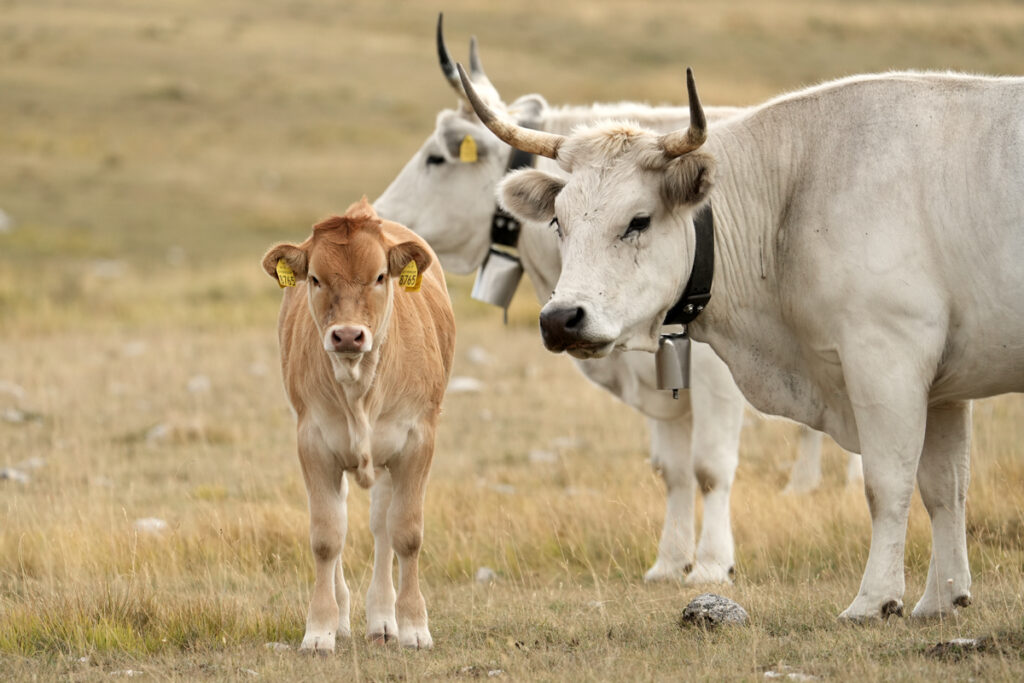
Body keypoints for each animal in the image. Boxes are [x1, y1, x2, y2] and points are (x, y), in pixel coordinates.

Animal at [262, 197, 454, 651]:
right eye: (315, 279)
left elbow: (406, 532)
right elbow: (327, 536)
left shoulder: (417, 443)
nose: (348, 336)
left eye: (380, 276)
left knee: (382, 525)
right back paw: (347, 616)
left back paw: (383, 619)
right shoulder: (313, 444)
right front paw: (320, 629)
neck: (359, 388)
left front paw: (414, 626)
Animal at [372, 18, 851, 585]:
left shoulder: (716, 379)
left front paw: (711, 565)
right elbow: (673, 471)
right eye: (558, 219)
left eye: (437, 157)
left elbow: (710, 469)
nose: (375, 220)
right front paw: (669, 562)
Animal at [462, 65, 1024, 626]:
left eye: (638, 220)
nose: (561, 319)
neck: (793, 199)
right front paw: (942, 600)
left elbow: (886, 484)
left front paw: (874, 599)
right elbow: (946, 488)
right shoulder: (944, 389)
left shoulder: (887, 360)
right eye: (558, 221)